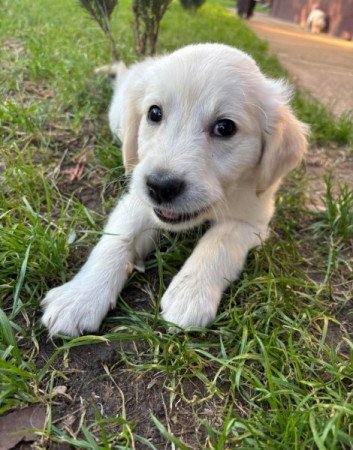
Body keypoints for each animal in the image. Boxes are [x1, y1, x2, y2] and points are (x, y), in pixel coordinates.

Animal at [41, 44, 306, 336]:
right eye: (154, 113)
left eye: (225, 127)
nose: (160, 186)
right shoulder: (137, 199)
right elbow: (115, 241)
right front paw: (79, 297)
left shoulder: (253, 217)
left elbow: (219, 243)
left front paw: (189, 295)